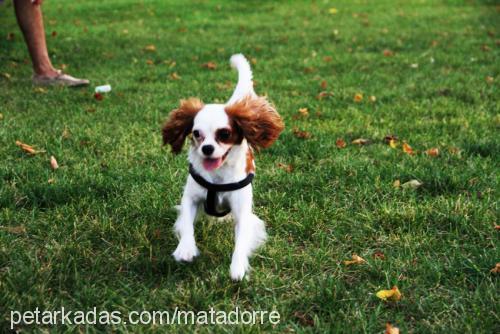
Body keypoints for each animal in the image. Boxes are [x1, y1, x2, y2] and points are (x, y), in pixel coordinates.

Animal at [162, 53, 284, 280]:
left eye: (225, 134)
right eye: (197, 133)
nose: (207, 148)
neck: (217, 176)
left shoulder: (242, 211)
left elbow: (241, 241)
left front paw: (237, 267)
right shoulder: (190, 198)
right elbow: (186, 223)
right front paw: (186, 248)